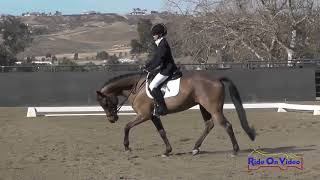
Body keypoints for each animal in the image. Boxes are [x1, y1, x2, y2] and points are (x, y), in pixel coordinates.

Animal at [96, 71, 256, 157]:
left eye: (105, 103)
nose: (112, 119)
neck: (136, 87)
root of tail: (216, 78)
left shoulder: (144, 115)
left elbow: (127, 126)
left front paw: (127, 148)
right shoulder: (153, 116)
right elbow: (162, 132)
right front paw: (167, 151)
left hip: (214, 109)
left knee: (226, 125)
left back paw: (234, 151)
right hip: (203, 107)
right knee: (209, 125)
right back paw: (195, 148)